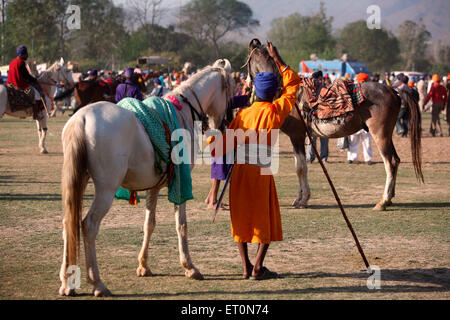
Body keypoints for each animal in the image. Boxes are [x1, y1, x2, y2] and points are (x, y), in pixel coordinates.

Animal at [59, 58, 234, 298]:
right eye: (231, 90)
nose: (225, 123)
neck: (181, 112)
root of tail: (82, 118)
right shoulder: (180, 184)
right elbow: (181, 225)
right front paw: (189, 267)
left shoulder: (155, 186)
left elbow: (149, 224)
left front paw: (143, 265)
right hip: (106, 190)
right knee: (89, 225)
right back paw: (97, 282)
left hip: (78, 181)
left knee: (69, 222)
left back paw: (67, 283)